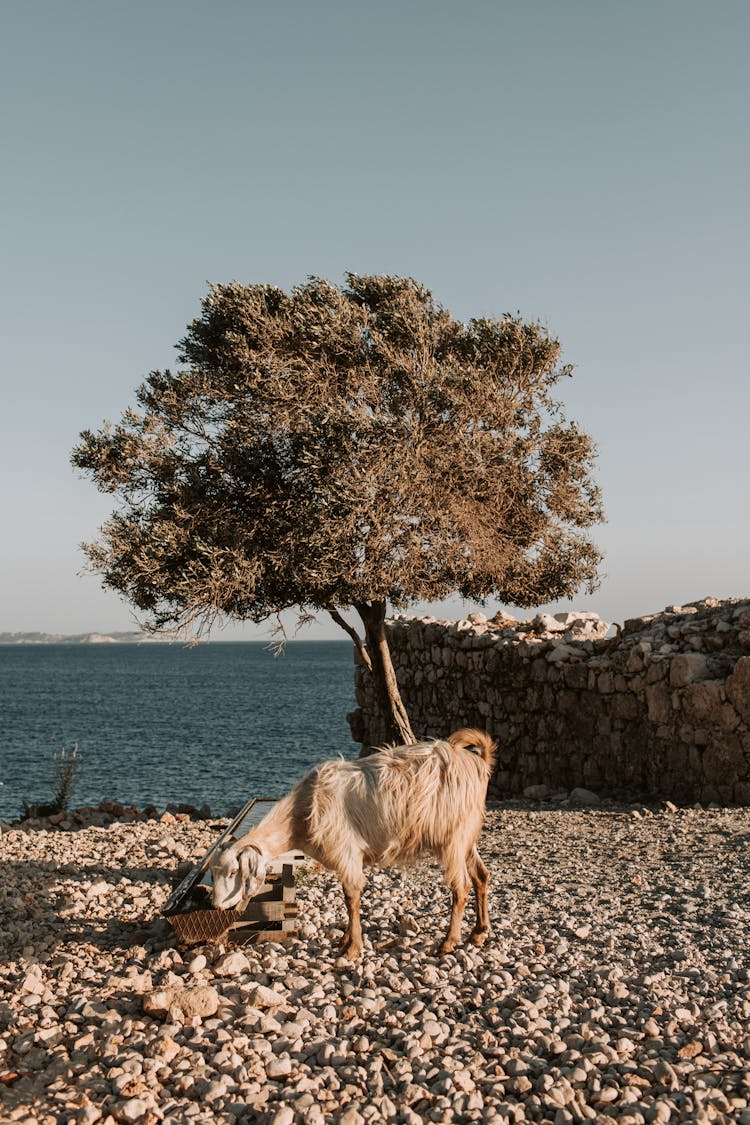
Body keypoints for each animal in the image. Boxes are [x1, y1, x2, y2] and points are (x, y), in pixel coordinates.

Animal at [208, 729, 494, 958]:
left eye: (234, 872)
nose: (214, 905)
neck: (302, 814)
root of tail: (478, 762)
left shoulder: (347, 852)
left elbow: (351, 897)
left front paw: (352, 947)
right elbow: (348, 898)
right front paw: (345, 940)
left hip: (453, 838)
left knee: (461, 887)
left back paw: (448, 942)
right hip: (467, 837)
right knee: (481, 876)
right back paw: (479, 933)